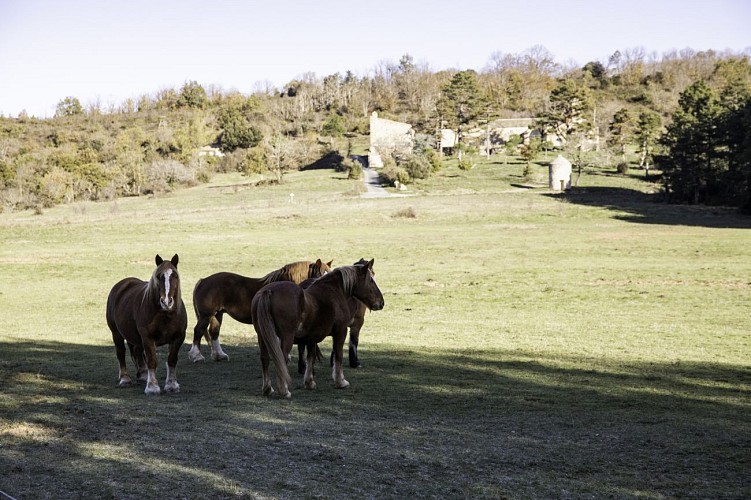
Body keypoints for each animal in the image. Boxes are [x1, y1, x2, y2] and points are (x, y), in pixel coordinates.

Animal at [106, 256, 188, 396]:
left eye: (175, 276)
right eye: (159, 276)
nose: (167, 301)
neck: (165, 314)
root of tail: (121, 285)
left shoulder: (178, 337)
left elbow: (172, 360)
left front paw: (171, 385)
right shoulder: (148, 338)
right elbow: (152, 360)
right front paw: (152, 387)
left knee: (137, 352)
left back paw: (143, 375)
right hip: (116, 333)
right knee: (121, 353)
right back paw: (125, 379)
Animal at [188, 258, 332, 364]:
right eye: (321, 274)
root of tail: (203, 280)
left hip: (217, 314)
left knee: (214, 331)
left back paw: (219, 355)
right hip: (206, 315)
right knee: (198, 331)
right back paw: (196, 356)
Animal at [253, 258, 384, 398]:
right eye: (371, 280)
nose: (381, 302)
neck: (334, 292)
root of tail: (268, 291)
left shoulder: (311, 338)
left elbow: (311, 358)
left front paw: (309, 383)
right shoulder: (341, 331)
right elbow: (338, 355)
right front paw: (340, 381)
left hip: (263, 336)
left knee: (265, 358)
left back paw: (267, 389)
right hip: (286, 337)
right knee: (281, 359)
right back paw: (284, 391)